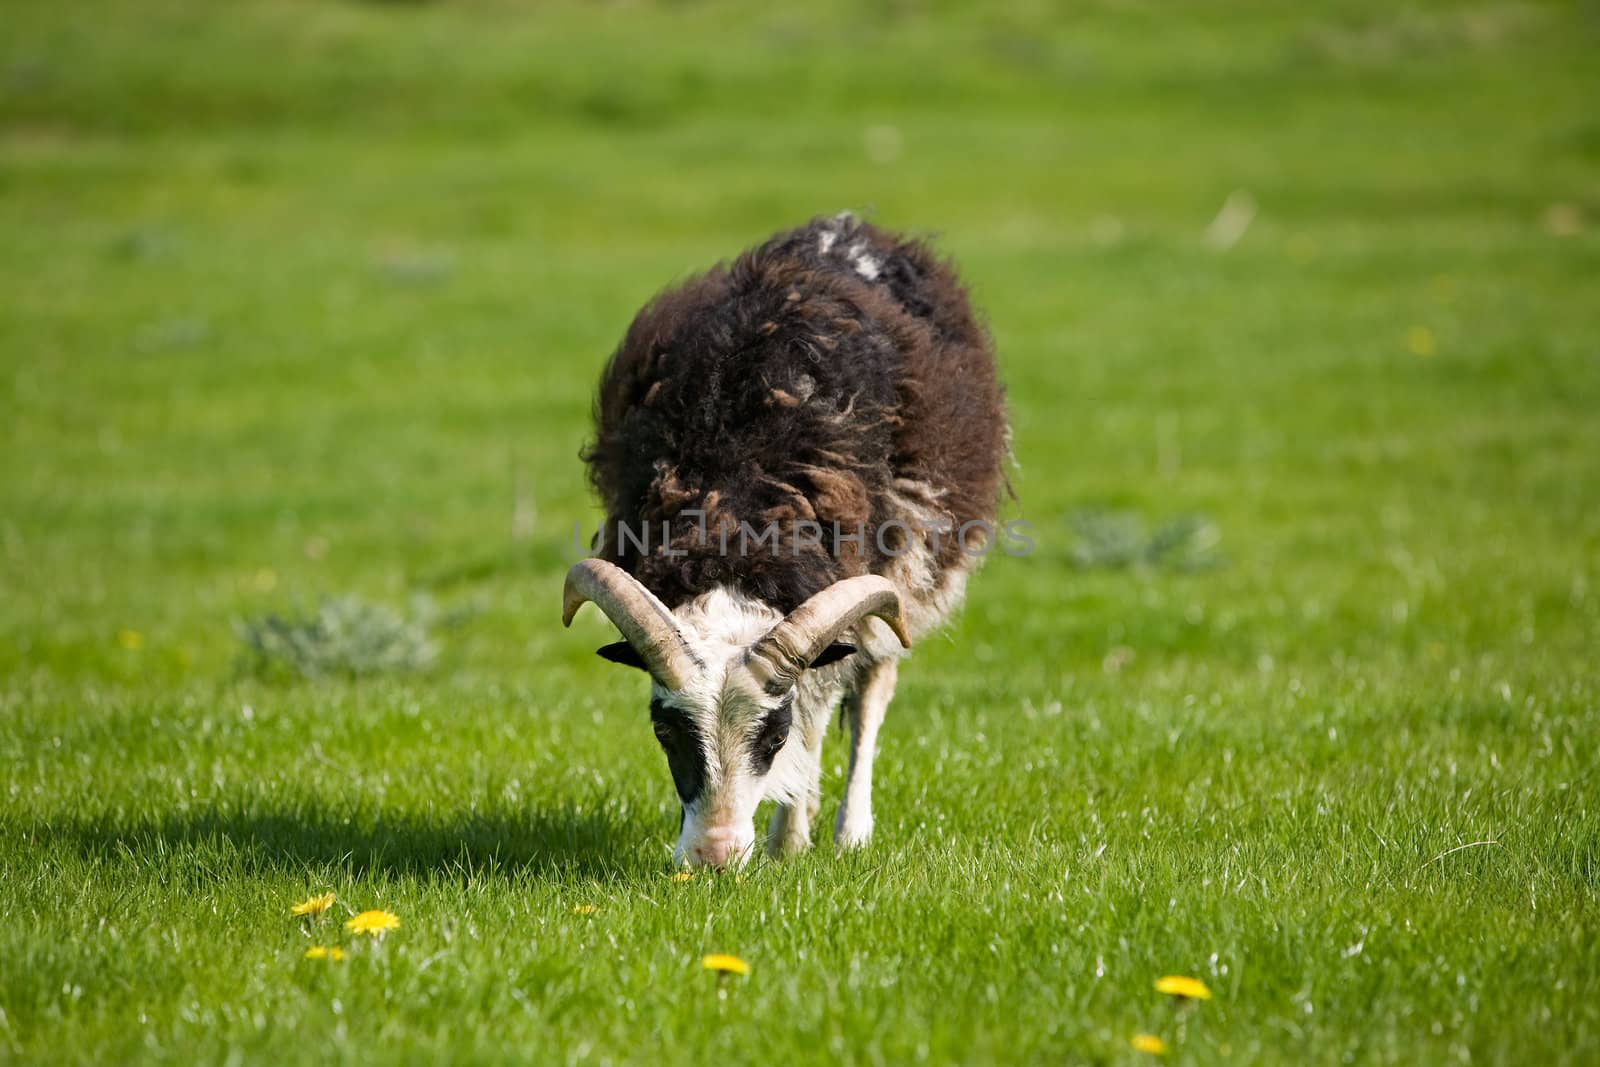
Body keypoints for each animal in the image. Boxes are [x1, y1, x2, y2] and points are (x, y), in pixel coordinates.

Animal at [569, 214, 1004, 870]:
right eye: (664, 730)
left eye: (774, 735)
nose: (715, 859)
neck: (737, 514)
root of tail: (845, 225)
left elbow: (821, 711)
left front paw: (790, 841)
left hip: (905, 573)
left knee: (872, 688)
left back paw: (850, 832)